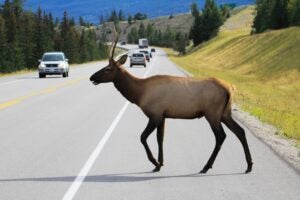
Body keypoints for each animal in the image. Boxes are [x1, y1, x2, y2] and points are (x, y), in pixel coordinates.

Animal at [89, 32, 253, 173]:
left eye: (107, 69)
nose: (92, 77)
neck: (139, 94)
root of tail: (230, 88)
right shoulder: (163, 115)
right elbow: (160, 138)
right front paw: (161, 163)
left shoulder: (155, 114)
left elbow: (143, 137)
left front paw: (155, 162)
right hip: (225, 113)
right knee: (240, 131)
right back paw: (249, 165)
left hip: (212, 113)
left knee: (221, 136)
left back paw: (206, 166)